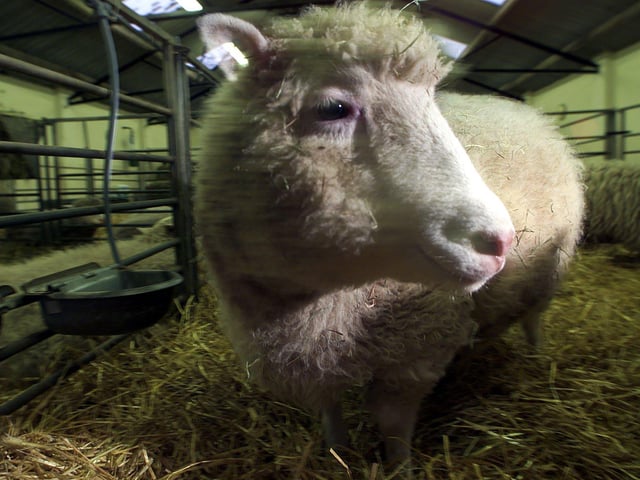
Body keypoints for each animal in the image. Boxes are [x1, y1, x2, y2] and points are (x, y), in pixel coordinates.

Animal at [194, 3, 584, 463]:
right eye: (333, 108)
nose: (500, 241)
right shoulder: (309, 354)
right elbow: (328, 408)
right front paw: (337, 454)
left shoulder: (414, 351)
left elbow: (394, 426)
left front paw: (400, 467)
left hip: (551, 268)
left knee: (534, 317)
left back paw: (538, 358)